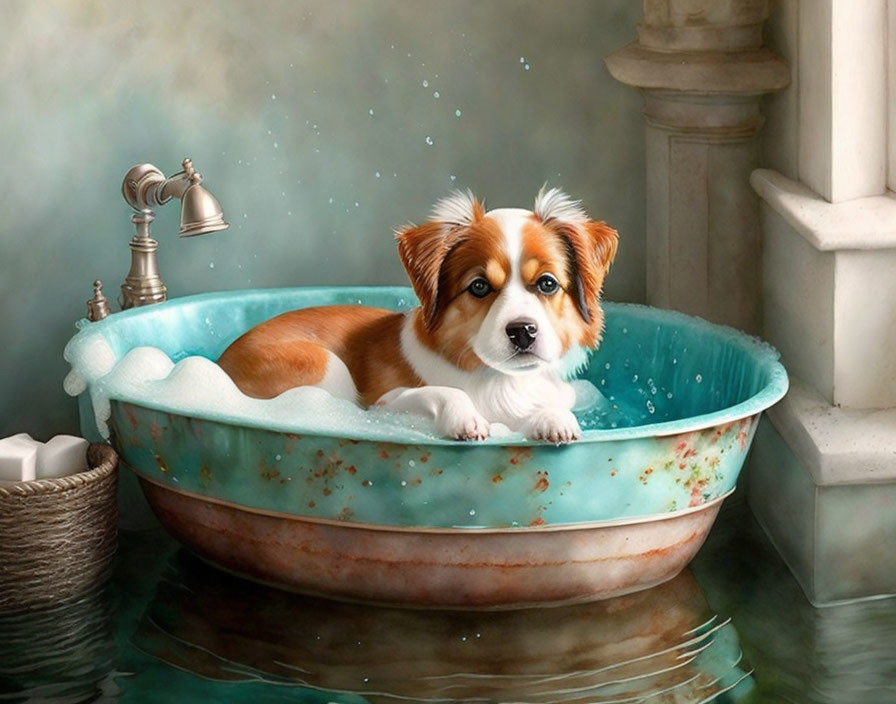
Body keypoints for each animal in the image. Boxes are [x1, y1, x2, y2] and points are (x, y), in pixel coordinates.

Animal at [220, 187, 620, 440]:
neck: (497, 380)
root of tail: (221, 361)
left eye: (547, 284)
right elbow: (446, 393)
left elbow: (551, 407)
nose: (523, 331)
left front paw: (554, 420)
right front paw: (465, 420)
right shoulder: (386, 403)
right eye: (479, 287)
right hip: (323, 366)